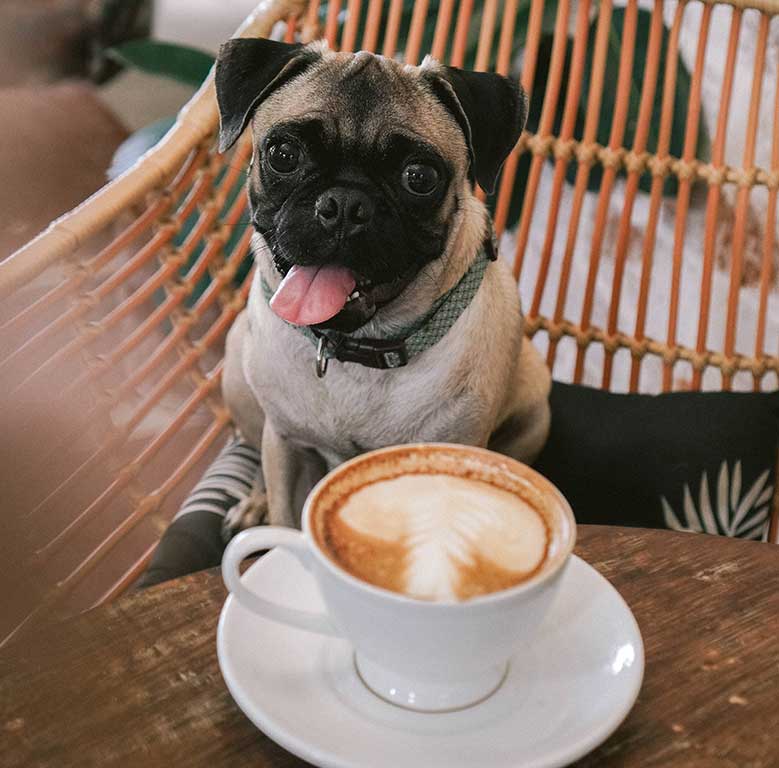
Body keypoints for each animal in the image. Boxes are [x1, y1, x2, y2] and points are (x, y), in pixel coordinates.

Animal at [216, 37, 552, 536]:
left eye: (420, 178)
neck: (355, 349)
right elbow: (284, 516)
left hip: (534, 404)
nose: (344, 203)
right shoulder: (286, 444)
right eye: (283, 155)